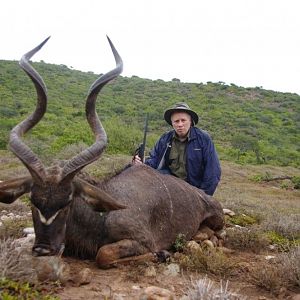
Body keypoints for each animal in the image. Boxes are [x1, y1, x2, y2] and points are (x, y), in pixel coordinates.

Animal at [0, 37, 224, 268]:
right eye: (32, 201)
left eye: (67, 202)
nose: (43, 249)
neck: (100, 216)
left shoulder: (141, 241)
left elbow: (103, 254)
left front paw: (163, 254)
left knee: (214, 235)